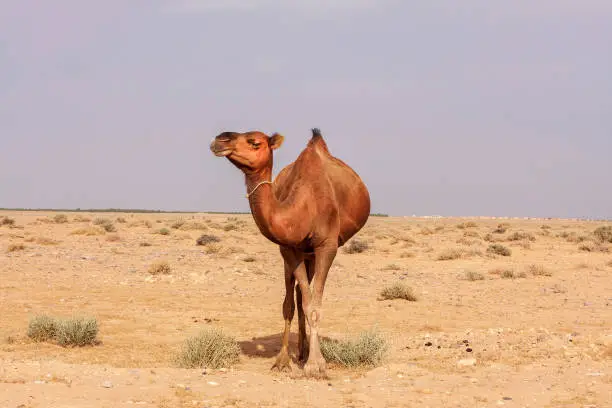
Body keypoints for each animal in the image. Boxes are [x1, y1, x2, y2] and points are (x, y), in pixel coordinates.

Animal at [210, 127, 370, 376]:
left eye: (254, 142)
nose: (220, 140)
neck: (304, 207)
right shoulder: (288, 248)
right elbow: (293, 305)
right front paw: (283, 360)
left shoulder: (327, 246)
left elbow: (315, 304)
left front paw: (316, 365)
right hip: (302, 253)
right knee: (295, 296)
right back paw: (300, 352)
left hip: (312, 253)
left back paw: (305, 353)